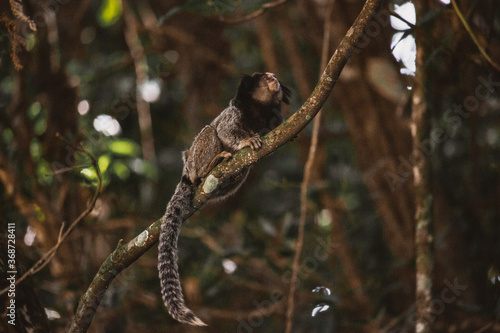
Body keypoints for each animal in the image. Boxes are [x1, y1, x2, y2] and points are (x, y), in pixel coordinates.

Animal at [158, 72, 292, 324]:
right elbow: (224, 131)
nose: (274, 78)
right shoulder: (233, 115)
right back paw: (210, 166)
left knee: (244, 169)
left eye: (274, 77)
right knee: (209, 132)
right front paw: (246, 141)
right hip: (193, 159)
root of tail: (186, 171)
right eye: (266, 77)